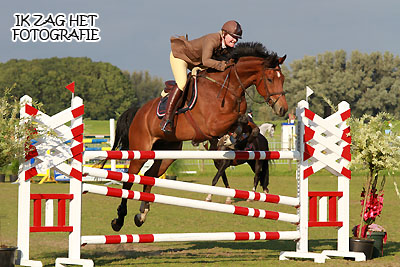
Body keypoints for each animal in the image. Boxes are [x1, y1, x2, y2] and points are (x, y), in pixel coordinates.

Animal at [108, 42, 286, 232]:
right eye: (270, 79)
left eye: (282, 79)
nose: (282, 109)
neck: (228, 86)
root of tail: (139, 112)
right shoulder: (212, 124)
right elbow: (240, 120)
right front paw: (229, 140)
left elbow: (251, 128)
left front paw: (233, 140)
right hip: (141, 151)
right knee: (129, 180)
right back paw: (119, 220)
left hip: (167, 154)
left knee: (149, 175)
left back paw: (142, 214)